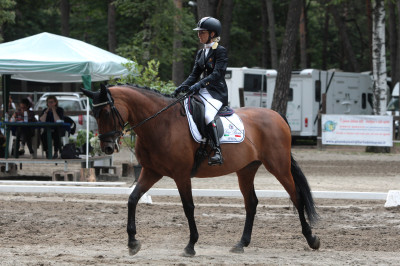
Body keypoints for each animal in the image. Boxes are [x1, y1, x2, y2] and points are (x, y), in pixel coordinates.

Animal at [80, 84, 318, 256]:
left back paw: (312, 239)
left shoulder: (181, 174)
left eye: (106, 112)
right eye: (94, 113)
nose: (107, 147)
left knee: (296, 197)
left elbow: (188, 207)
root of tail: (277, 116)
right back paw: (241, 244)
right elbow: (132, 199)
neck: (160, 124)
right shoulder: (151, 171)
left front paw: (191, 245)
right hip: (246, 170)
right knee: (251, 203)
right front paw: (132, 243)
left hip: (279, 166)